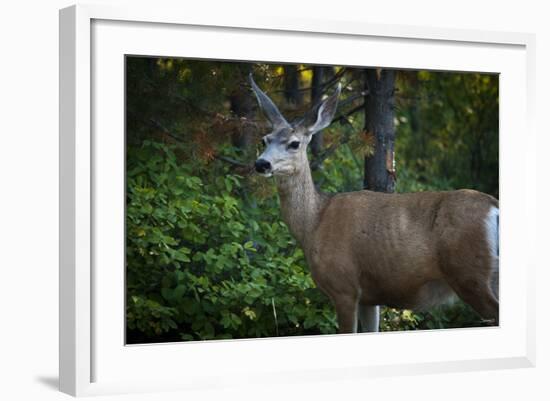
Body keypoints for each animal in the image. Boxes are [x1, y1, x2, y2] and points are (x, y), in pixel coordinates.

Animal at [250, 74, 500, 332]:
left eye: (294, 143)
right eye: (265, 140)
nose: (261, 164)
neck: (314, 223)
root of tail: (495, 208)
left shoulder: (344, 286)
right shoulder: (369, 298)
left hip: (470, 273)